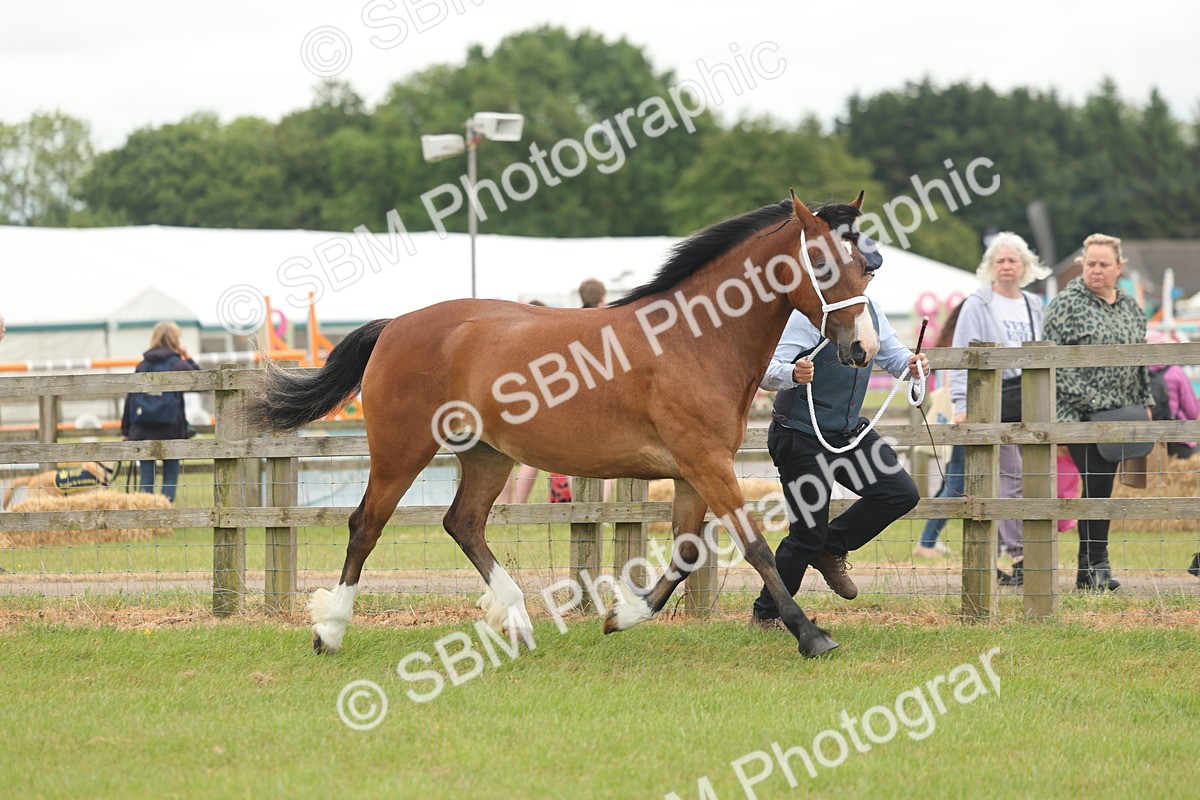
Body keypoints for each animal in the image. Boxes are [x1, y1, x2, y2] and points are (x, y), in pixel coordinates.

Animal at [244, 190, 879, 658]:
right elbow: (755, 549)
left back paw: (518, 621)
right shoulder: (706, 463)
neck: (693, 339)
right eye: (824, 264)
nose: (863, 349)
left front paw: (621, 615)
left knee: (463, 524)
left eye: (866, 268)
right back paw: (330, 631)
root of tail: (396, 324)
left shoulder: (692, 472)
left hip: (487, 455)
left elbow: (686, 553)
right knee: (366, 526)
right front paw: (814, 636)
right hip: (402, 451)